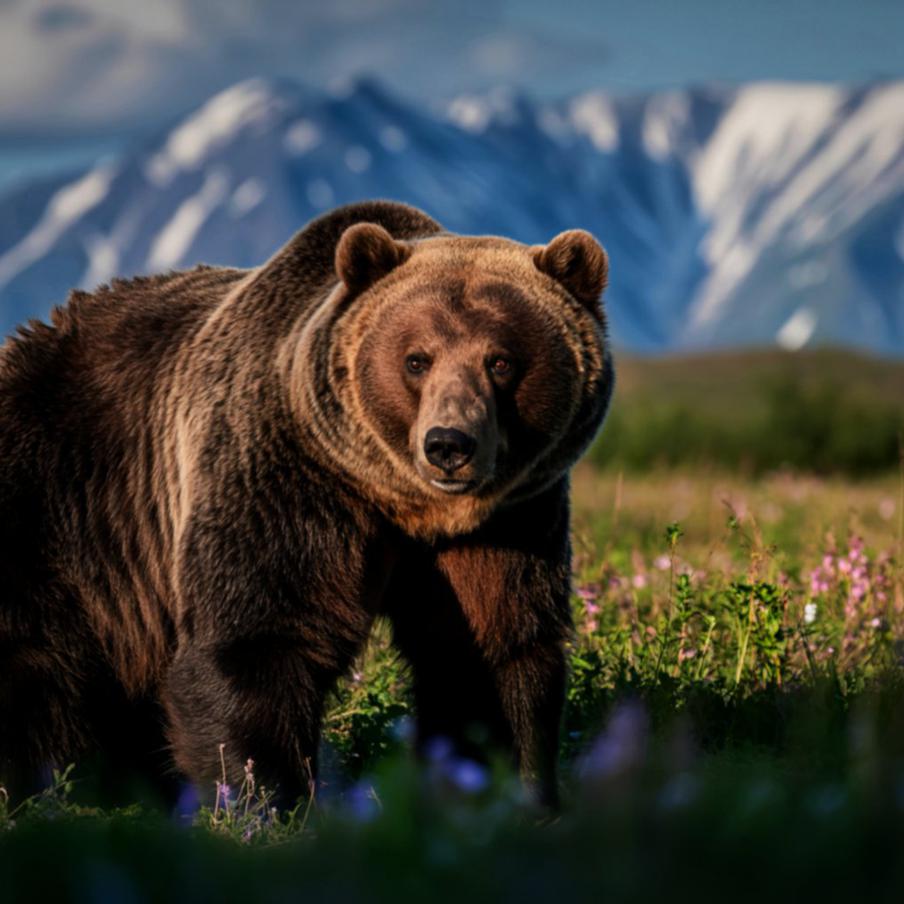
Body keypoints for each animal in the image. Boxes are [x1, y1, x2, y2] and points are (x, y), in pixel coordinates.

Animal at [0, 200, 613, 808]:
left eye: (501, 361)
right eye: (417, 360)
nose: (448, 444)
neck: (402, 504)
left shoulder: (509, 519)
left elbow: (492, 650)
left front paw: (509, 788)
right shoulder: (285, 477)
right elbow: (257, 643)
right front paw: (270, 799)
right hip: (56, 506)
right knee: (35, 666)